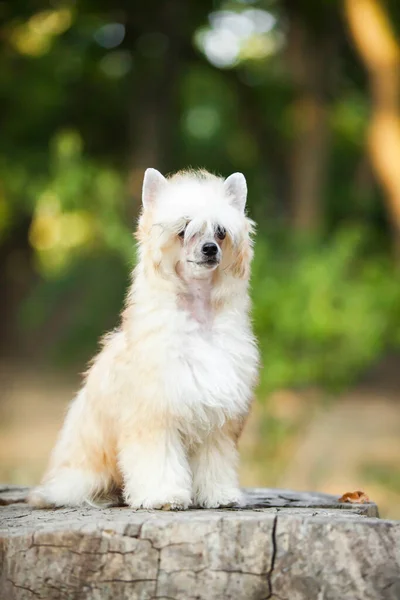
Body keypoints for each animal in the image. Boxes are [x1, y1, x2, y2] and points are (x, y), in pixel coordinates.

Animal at [28, 169, 260, 510]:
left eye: (220, 233)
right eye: (183, 230)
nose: (209, 249)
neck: (197, 315)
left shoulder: (216, 421)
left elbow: (215, 460)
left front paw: (218, 494)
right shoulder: (154, 415)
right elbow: (158, 459)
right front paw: (164, 495)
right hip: (86, 473)